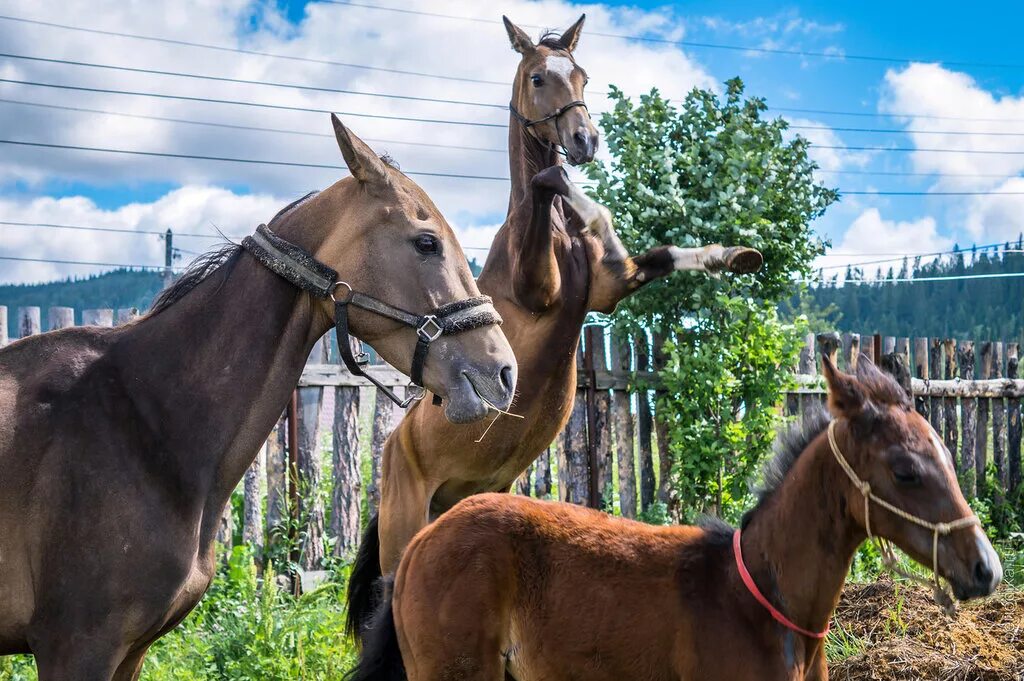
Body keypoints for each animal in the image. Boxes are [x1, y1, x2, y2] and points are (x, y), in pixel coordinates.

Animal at [348, 11, 765, 639]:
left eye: (583, 74)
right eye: (539, 77)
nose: (585, 140)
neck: (555, 235)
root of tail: (392, 450)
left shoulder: (609, 292)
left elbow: (660, 255)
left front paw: (737, 256)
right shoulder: (536, 289)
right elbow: (554, 180)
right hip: (404, 525)